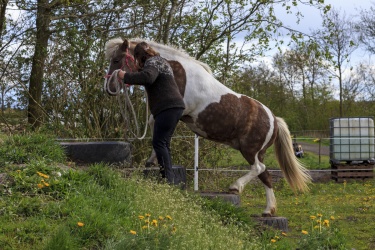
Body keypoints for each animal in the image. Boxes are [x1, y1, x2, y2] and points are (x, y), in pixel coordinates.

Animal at [103, 37, 312, 217]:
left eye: (116, 60)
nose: (109, 88)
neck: (177, 70)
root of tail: (274, 120)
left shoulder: (180, 110)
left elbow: (155, 126)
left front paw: (152, 159)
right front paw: (151, 161)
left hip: (249, 150)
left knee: (259, 169)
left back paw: (235, 187)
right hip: (257, 152)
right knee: (265, 175)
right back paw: (268, 210)